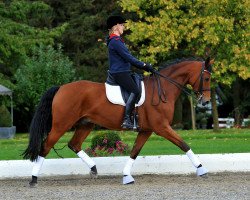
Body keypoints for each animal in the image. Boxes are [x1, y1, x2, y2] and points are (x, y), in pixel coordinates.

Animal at [22, 57, 213, 186]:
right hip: (61, 125)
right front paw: (202, 168)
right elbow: (184, 144)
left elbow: (135, 151)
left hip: (86, 123)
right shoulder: (161, 127)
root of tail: (61, 88)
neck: (163, 88)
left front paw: (127, 176)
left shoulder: (146, 130)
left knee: (74, 144)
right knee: (46, 146)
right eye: (207, 78)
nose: (206, 101)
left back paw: (93, 169)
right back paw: (33, 179)